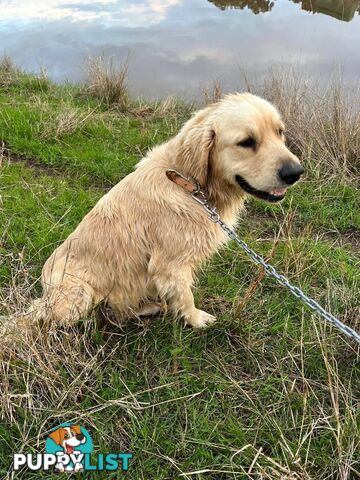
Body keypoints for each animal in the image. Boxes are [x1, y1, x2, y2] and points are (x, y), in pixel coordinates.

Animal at [32, 94, 304, 330]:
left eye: (280, 132)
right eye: (247, 142)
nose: (295, 172)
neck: (187, 183)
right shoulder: (171, 266)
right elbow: (185, 296)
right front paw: (196, 319)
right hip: (79, 293)